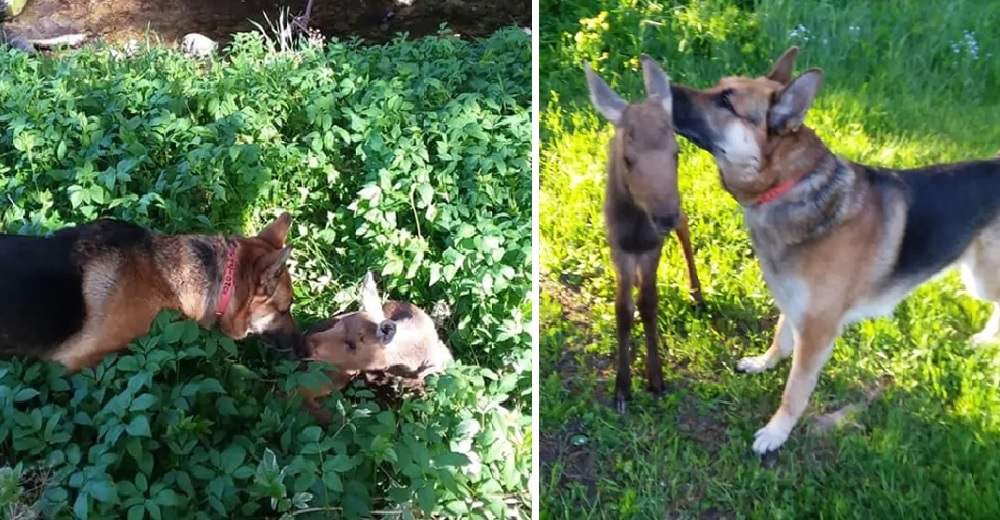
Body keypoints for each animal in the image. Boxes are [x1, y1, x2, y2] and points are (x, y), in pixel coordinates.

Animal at [584, 55, 704, 414]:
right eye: (628, 158)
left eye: (676, 152)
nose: (663, 215)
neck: (637, 231)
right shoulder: (618, 246)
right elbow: (623, 310)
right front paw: (622, 389)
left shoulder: (653, 245)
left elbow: (649, 303)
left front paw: (656, 380)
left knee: (686, 223)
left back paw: (697, 294)